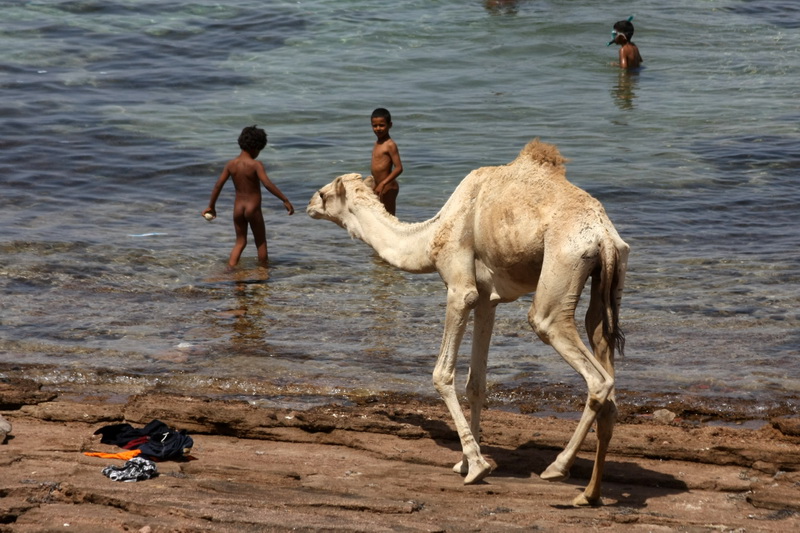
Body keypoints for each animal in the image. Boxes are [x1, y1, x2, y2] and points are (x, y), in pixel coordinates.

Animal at [306, 139, 632, 504]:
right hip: (610, 279)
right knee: (605, 360)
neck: (430, 236)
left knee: (593, 374)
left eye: (323, 194)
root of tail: (605, 238)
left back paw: (557, 468)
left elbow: (442, 374)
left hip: (561, 271)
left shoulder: (460, 288)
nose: (307, 205)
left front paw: (476, 466)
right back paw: (589, 494)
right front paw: (465, 461)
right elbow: (476, 383)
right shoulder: (487, 299)